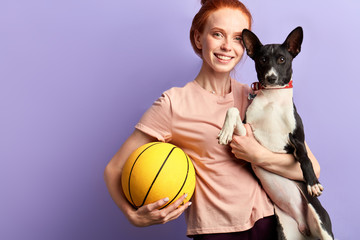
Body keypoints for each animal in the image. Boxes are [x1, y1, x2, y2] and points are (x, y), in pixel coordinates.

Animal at [219, 27, 334, 239]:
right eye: (262, 59)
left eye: (282, 59)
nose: (271, 78)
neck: (273, 99)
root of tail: (304, 227)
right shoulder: (246, 132)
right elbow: (233, 110)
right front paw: (225, 131)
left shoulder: (297, 139)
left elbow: (304, 156)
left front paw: (313, 182)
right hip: (284, 230)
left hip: (323, 227)